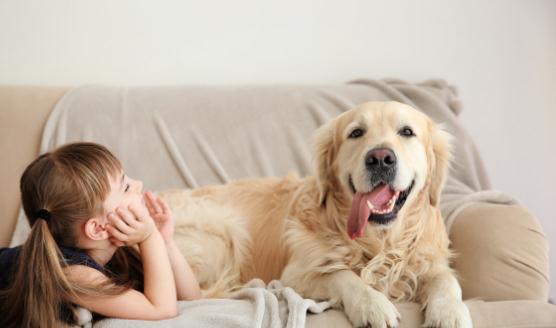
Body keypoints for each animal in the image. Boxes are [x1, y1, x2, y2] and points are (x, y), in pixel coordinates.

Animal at [161, 100, 474, 328]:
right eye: (356, 133)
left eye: (407, 132)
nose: (381, 158)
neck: (379, 242)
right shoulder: (294, 275)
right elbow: (343, 275)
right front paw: (371, 305)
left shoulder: (430, 262)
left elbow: (448, 281)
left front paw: (449, 313)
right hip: (221, 235)